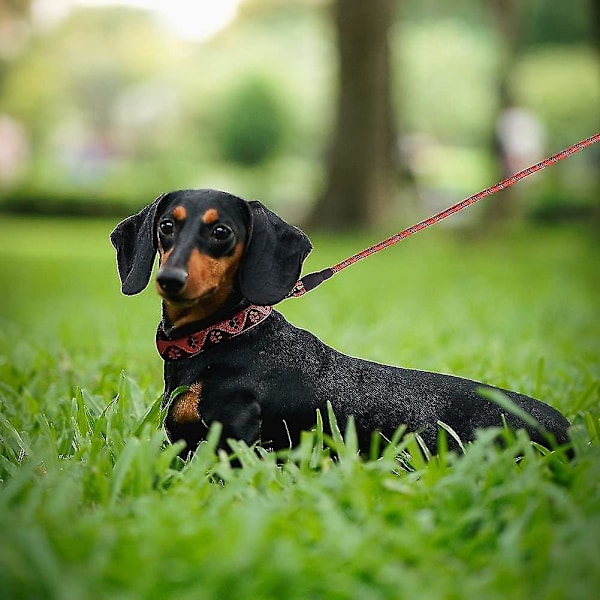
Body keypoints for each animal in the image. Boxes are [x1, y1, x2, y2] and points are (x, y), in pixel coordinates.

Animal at [112, 190, 572, 458]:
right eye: (166, 226)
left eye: (221, 231)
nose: (169, 279)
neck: (227, 336)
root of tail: (565, 427)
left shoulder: (235, 440)